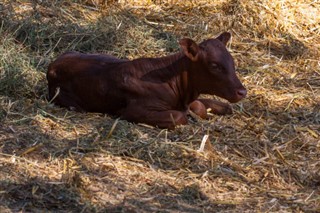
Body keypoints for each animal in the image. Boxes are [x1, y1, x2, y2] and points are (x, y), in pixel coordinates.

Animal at [46, 31, 246, 128]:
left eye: (232, 61)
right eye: (214, 65)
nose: (242, 91)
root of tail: (54, 63)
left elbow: (200, 106)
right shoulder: (135, 111)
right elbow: (180, 116)